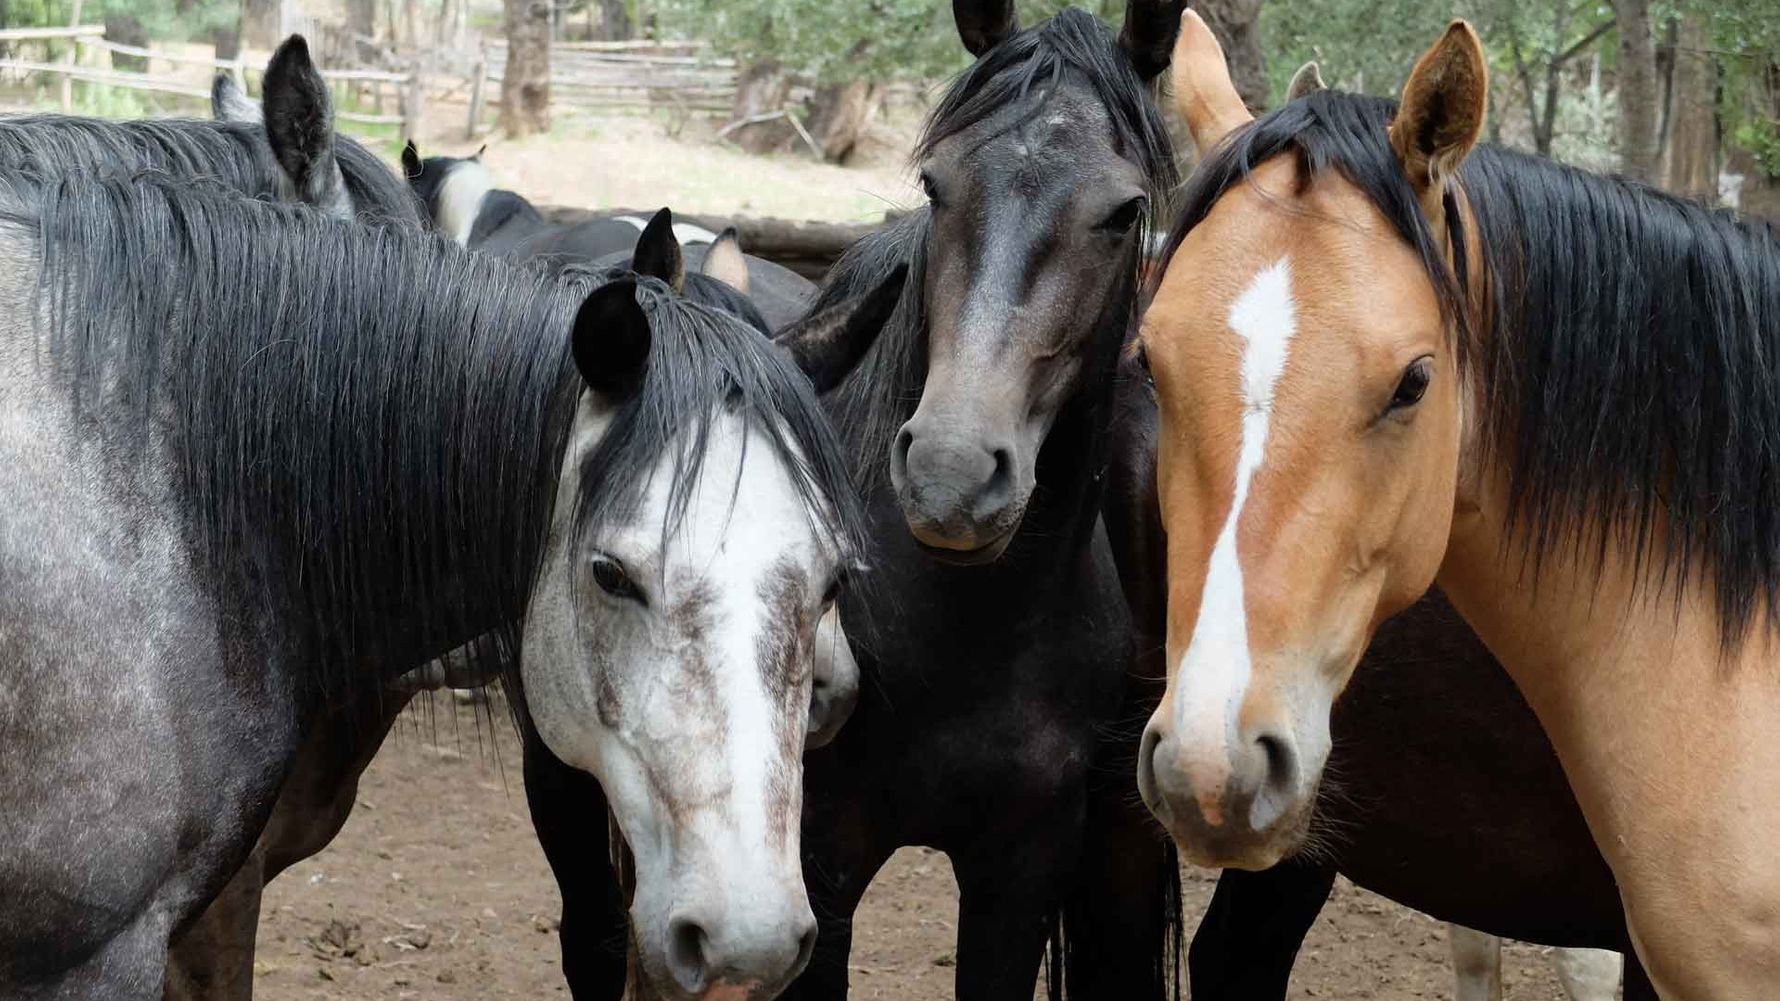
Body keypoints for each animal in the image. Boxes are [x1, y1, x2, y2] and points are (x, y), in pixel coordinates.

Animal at [745, 4, 1187, 999]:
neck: (965, 629)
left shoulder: (1021, 872)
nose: (951, 477)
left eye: (1124, 212)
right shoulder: (822, 863)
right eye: (934, 184)